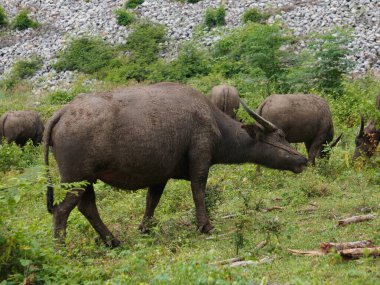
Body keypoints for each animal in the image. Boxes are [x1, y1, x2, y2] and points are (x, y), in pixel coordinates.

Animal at [44, 82, 308, 246]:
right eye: (281, 135)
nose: (302, 160)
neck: (214, 124)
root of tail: (63, 113)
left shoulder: (160, 175)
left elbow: (152, 201)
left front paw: (146, 228)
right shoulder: (200, 160)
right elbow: (198, 191)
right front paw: (205, 226)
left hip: (87, 180)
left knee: (87, 207)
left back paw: (112, 241)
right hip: (76, 179)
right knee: (62, 210)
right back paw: (61, 247)